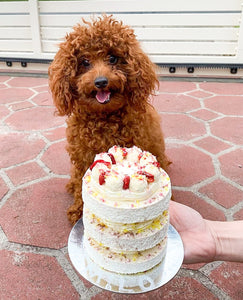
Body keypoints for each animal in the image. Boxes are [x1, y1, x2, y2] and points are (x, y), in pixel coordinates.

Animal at [49, 15, 171, 224]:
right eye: (85, 61)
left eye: (113, 58)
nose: (100, 82)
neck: (104, 116)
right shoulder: (83, 158)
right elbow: (80, 184)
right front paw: (78, 210)